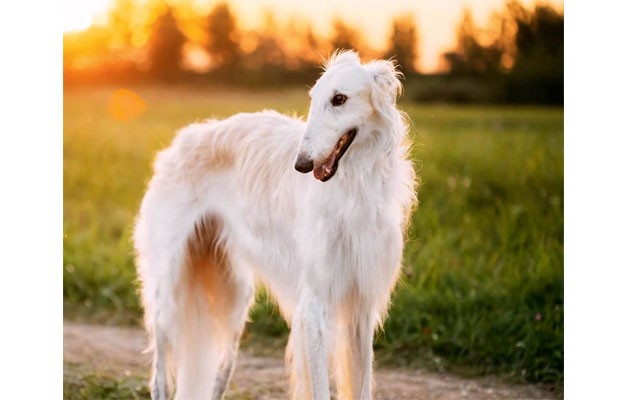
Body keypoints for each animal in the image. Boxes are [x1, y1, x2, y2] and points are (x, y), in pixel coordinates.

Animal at [132, 50, 418, 400]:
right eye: (313, 98)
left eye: (339, 99)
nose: (302, 164)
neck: (353, 188)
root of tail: (178, 144)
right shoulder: (315, 305)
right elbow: (321, 389)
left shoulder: (361, 307)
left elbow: (361, 387)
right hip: (169, 295)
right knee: (159, 377)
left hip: (233, 301)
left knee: (220, 374)